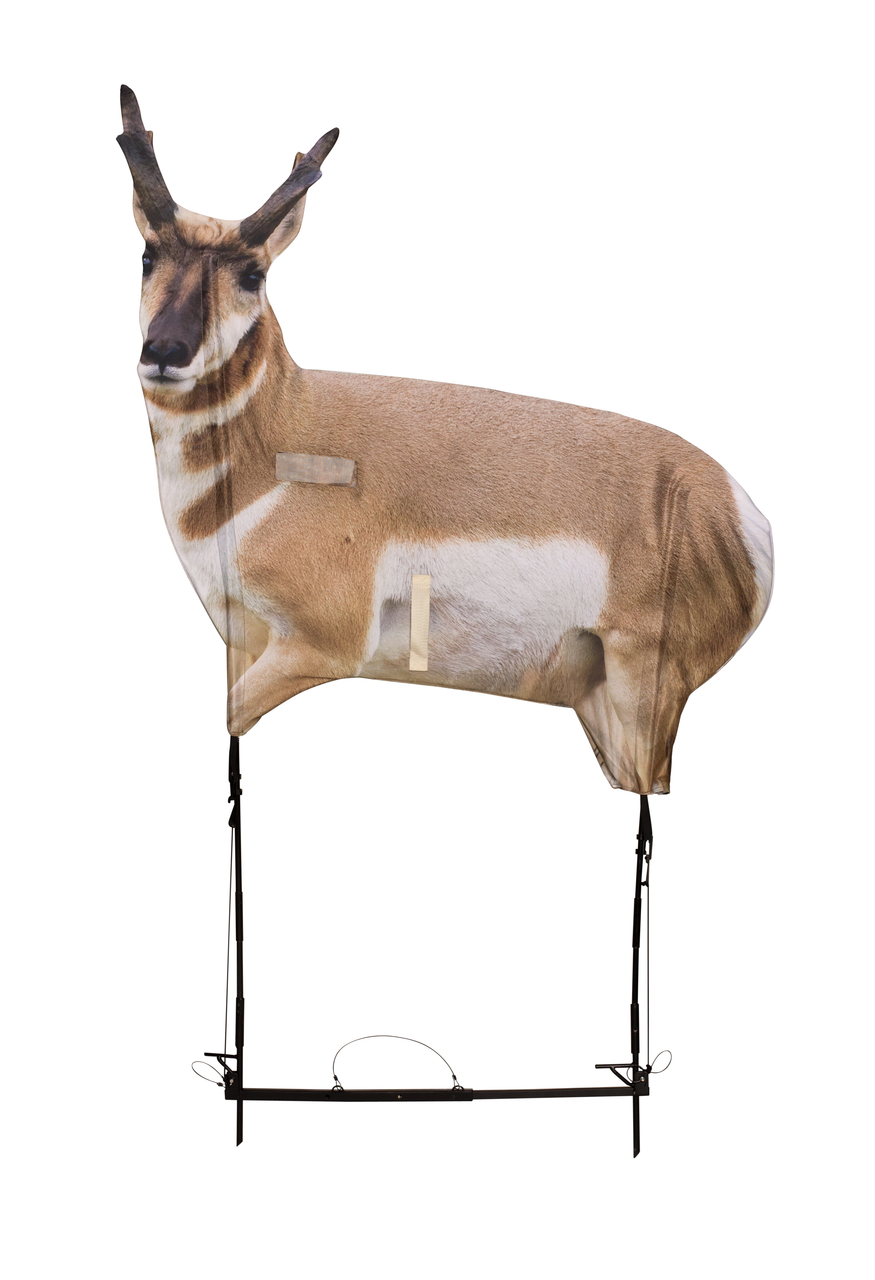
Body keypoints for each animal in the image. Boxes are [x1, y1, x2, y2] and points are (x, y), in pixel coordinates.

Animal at [118, 86, 772, 795]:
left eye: (252, 275)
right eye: (147, 256)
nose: (164, 351)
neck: (287, 436)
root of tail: (736, 508)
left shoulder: (318, 647)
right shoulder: (243, 642)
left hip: (641, 692)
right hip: (599, 705)